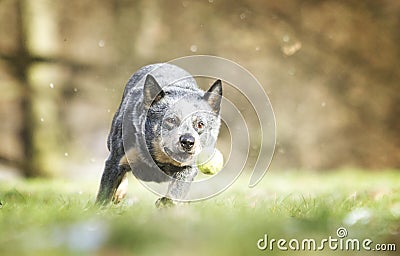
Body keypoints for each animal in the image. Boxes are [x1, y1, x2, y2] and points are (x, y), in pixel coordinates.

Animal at [95, 63, 223, 206]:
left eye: (200, 124)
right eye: (171, 120)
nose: (188, 141)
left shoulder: (189, 167)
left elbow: (175, 192)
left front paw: (167, 204)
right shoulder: (115, 160)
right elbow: (104, 194)